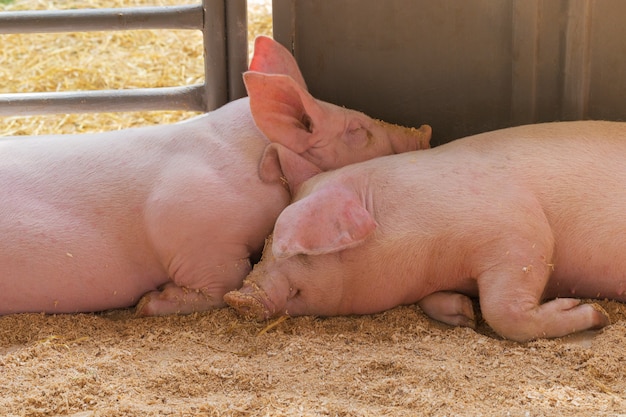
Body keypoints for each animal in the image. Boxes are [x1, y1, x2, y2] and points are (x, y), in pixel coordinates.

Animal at [223, 120, 624, 342]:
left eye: (298, 249)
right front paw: (463, 313)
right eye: (266, 244)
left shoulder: (521, 232)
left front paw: (595, 314)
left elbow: (503, 312)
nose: (237, 297)